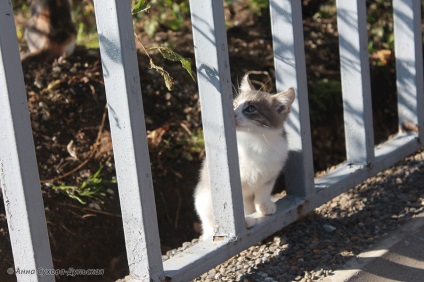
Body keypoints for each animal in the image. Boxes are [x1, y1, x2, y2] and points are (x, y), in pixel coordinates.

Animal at [195, 74, 294, 238]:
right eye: (234, 104)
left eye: (251, 108)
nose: (233, 112)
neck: (255, 141)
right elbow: (239, 204)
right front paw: (245, 220)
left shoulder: (271, 171)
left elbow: (263, 190)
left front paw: (264, 206)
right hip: (204, 200)